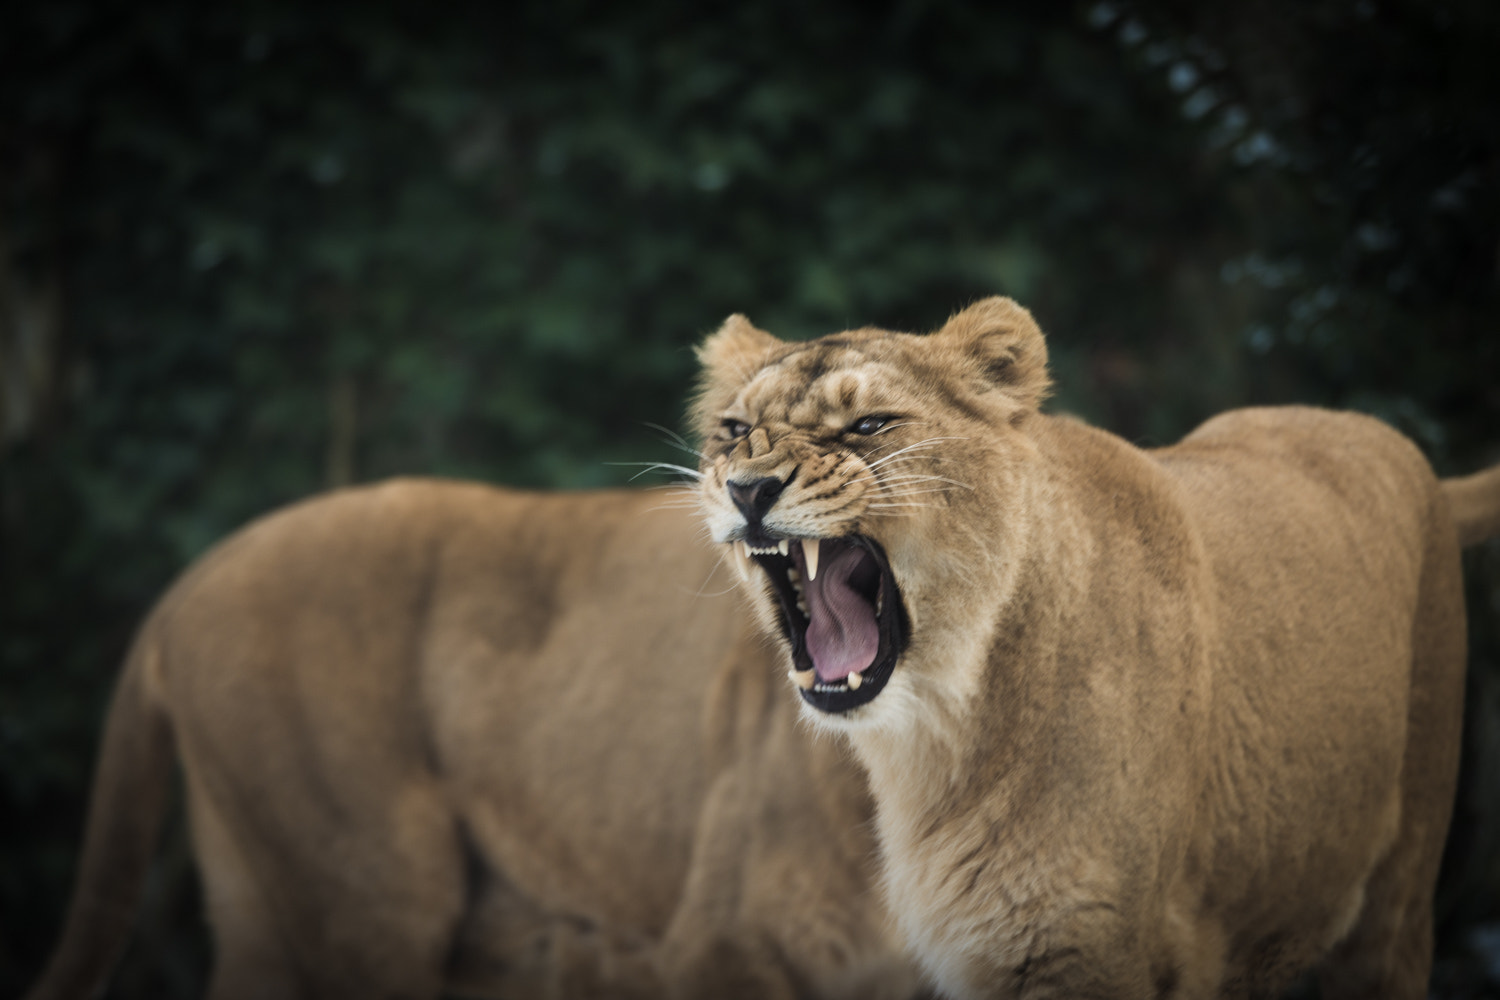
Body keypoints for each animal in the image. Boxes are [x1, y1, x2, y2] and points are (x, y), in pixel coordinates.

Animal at [692, 296, 1500, 999]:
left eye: (868, 424)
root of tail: (1412, 458)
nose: (748, 490)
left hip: (1400, 895)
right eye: (732, 430)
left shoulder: (1089, 952)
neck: (945, 731)